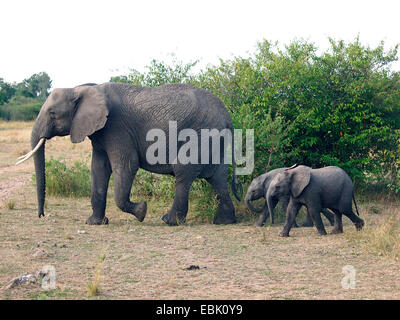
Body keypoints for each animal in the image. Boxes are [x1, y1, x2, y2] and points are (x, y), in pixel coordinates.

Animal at [16, 84, 241, 226]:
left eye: (52, 113)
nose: (41, 215)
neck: (81, 88)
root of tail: (227, 117)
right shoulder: (100, 133)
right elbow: (98, 170)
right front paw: (95, 223)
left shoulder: (117, 128)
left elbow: (126, 166)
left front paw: (141, 212)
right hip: (213, 139)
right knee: (218, 177)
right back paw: (223, 221)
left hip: (200, 134)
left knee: (183, 171)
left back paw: (169, 221)